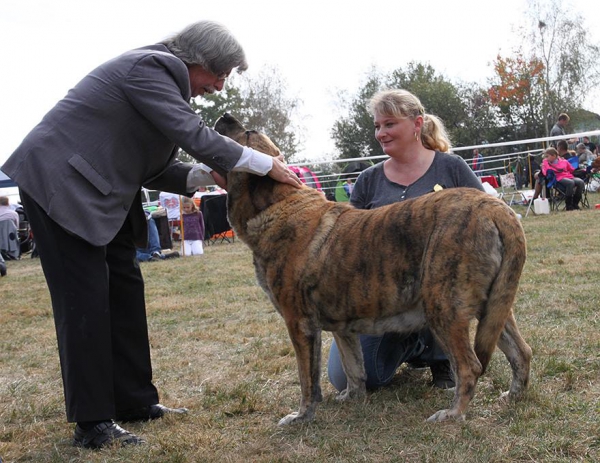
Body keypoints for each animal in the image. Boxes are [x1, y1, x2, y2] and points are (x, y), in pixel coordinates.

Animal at [214, 114, 528, 426]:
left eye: (247, 133)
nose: (224, 116)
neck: (277, 203)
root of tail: (496, 208)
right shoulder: (342, 327)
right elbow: (353, 367)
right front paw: (351, 398)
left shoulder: (299, 323)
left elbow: (307, 380)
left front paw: (301, 416)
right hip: (494, 308)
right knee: (521, 352)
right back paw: (513, 396)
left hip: (444, 307)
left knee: (469, 366)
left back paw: (452, 414)